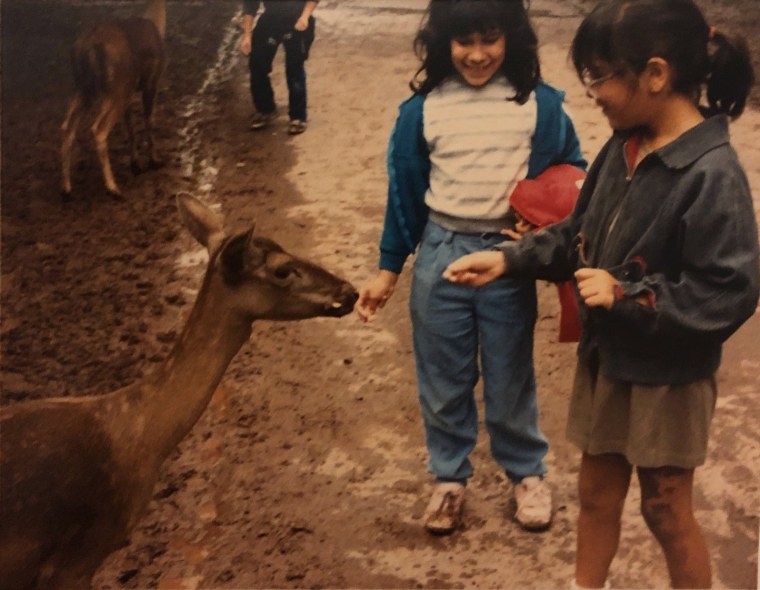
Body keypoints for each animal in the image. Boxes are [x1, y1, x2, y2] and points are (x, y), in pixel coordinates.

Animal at [59, 0, 168, 200]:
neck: (156, 21)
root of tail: (87, 48)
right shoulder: (151, 82)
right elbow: (149, 121)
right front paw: (155, 160)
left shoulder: (129, 94)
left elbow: (130, 128)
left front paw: (135, 164)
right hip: (115, 88)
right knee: (99, 128)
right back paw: (113, 187)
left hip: (85, 89)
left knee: (67, 125)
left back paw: (66, 189)